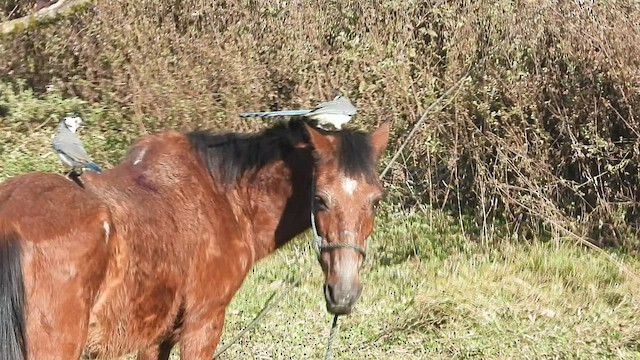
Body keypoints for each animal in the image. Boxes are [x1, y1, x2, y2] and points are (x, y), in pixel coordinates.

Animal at [0, 119, 390, 358]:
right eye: (320, 198)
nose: (343, 294)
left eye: (375, 199)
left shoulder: (156, 337)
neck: (223, 195)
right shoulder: (203, 323)